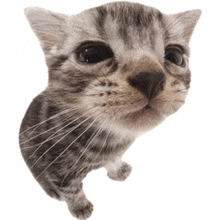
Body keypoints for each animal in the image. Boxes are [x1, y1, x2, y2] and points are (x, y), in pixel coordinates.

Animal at [20, 2, 201, 220]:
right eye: (92, 54)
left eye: (175, 56)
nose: (150, 78)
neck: (109, 139)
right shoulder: (56, 168)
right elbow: (72, 190)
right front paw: (80, 206)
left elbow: (113, 159)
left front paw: (117, 170)